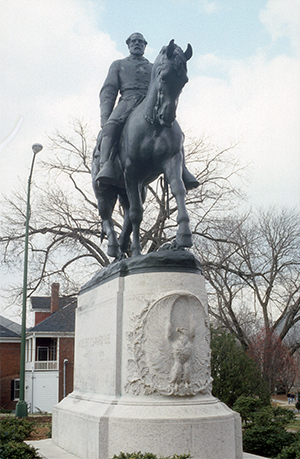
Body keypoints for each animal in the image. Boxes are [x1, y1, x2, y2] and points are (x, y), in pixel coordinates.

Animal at [92, 40, 193, 258]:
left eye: (184, 80)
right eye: (163, 77)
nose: (167, 116)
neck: (153, 126)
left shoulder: (172, 160)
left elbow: (178, 189)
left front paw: (183, 236)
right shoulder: (131, 171)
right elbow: (137, 213)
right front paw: (137, 252)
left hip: (134, 188)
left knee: (127, 215)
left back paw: (123, 245)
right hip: (104, 189)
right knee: (107, 216)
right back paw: (115, 248)